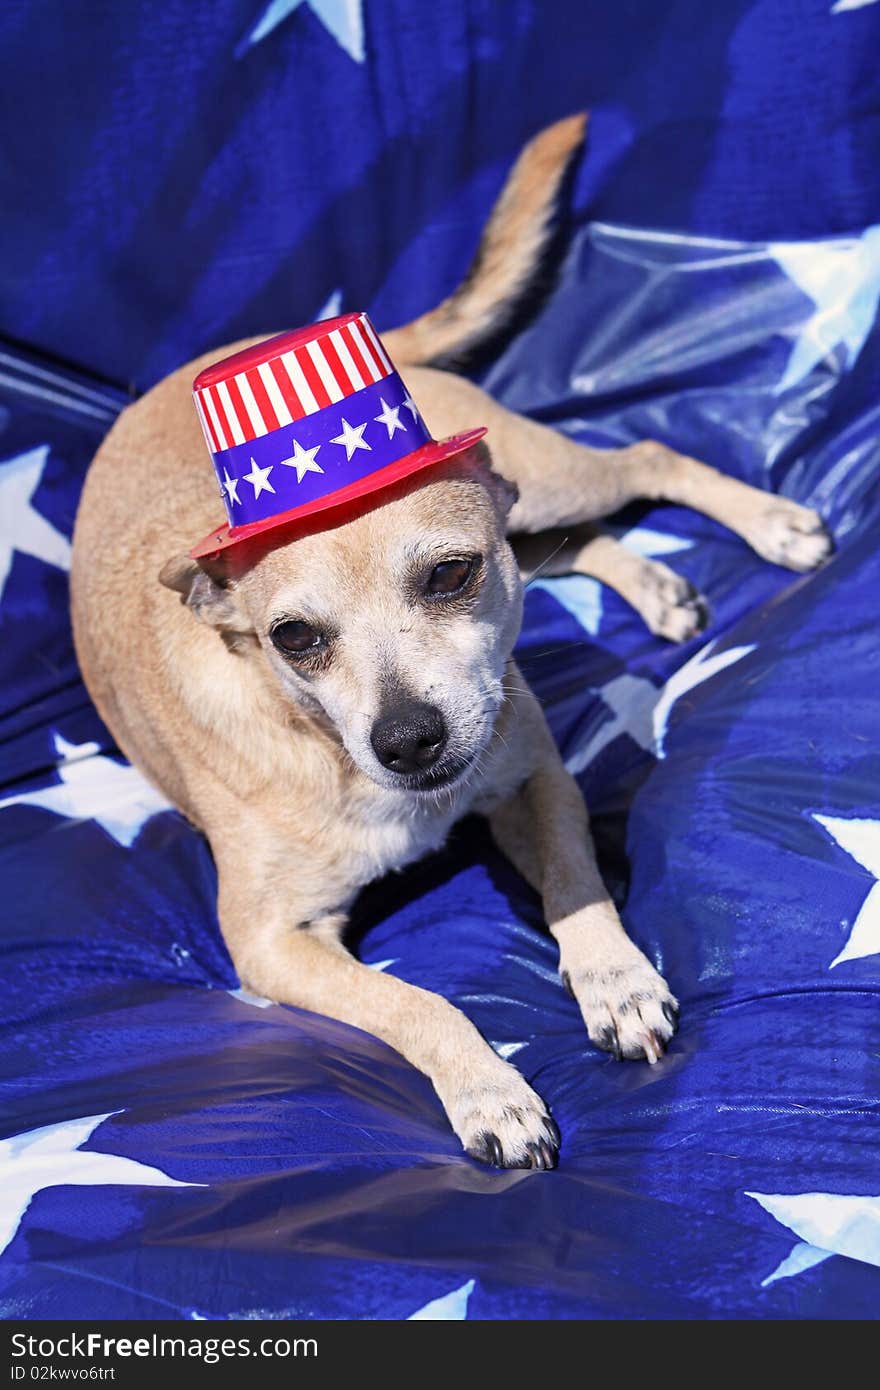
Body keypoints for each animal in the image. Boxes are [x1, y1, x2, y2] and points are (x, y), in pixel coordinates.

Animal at [70, 119, 828, 1167]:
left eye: (449, 575)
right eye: (293, 637)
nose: (407, 739)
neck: (337, 759)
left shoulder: (539, 778)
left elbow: (575, 883)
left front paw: (614, 979)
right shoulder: (270, 944)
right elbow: (414, 1002)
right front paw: (489, 1089)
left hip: (546, 472)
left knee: (643, 460)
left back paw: (772, 525)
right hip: (534, 503)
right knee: (574, 539)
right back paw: (659, 587)